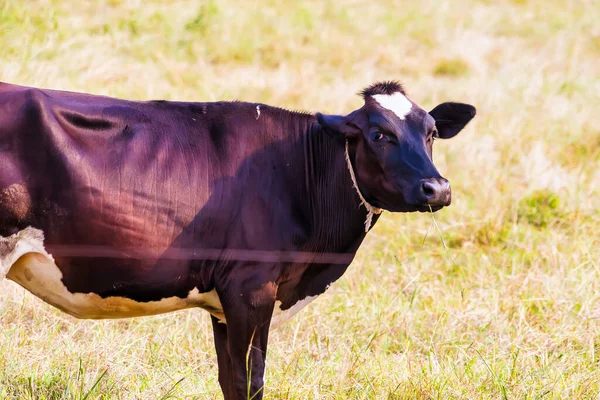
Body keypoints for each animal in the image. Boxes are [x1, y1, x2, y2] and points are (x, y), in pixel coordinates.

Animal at [0, 80, 476, 396]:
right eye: (379, 134)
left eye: (432, 133)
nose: (437, 188)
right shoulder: (252, 287)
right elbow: (251, 381)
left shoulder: (224, 299)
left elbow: (230, 380)